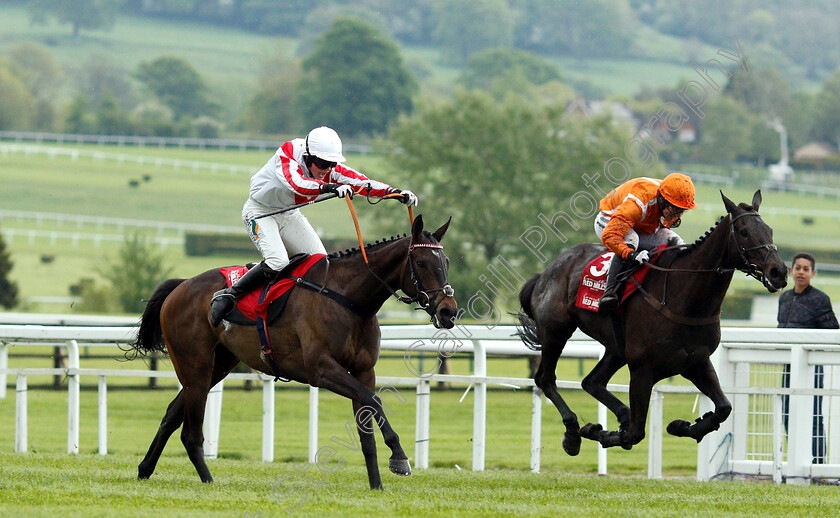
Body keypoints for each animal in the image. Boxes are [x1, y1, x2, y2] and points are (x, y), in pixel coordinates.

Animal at [128, 213, 456, 490]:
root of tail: (180, 286)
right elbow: (373, 400)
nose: (449, 311)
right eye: (422, 263)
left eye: (447, 261)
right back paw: (208, 480)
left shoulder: (364, 371)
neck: (349, 299)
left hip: (217, 365)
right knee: (190, 432)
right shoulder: (321, 369)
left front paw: (377, 484)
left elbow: (367, 425)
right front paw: (399, 457)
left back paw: (145, 469)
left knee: (171, 415)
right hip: (195, 365)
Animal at [516, 191, 792, 456]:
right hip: (555, 331)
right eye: (744, 232)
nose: (779, 271)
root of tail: (545, 272)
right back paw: (573, 433)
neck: (686, 299)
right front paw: (601, 432)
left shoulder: (696, 362)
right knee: (546, 379)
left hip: (616, 348)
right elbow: (635, 433)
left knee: (591, 382)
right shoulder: (642, 370)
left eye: (769, 230)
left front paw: (683, 426)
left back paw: (619, 415)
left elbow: (724, 407)